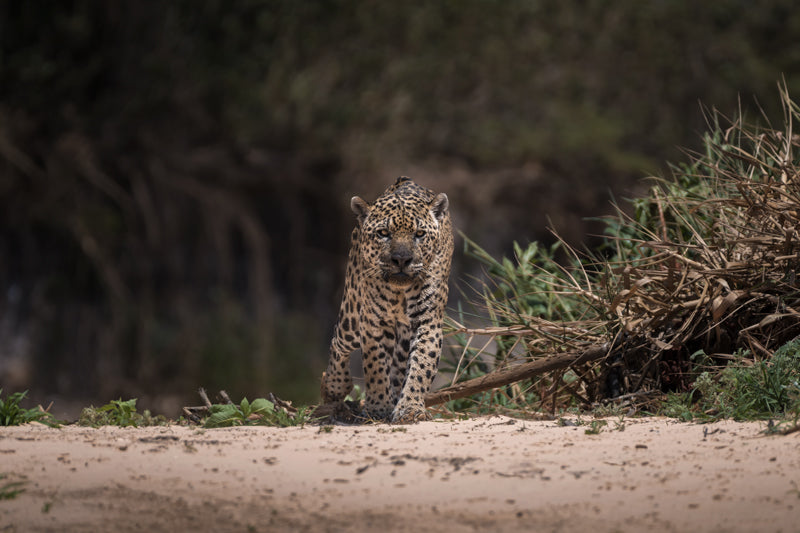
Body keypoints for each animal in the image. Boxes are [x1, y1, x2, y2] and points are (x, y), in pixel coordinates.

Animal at [320, 176, 454, 423]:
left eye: (419, 234)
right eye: (383, 233)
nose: (401, 259)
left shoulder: (428, 322)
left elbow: (421, 365)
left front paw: (409, 407)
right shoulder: (372, 322)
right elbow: (375, 365)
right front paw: (378, 407)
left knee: (399, 367)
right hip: (351, 315)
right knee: (338, 342)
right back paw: (333, 386)